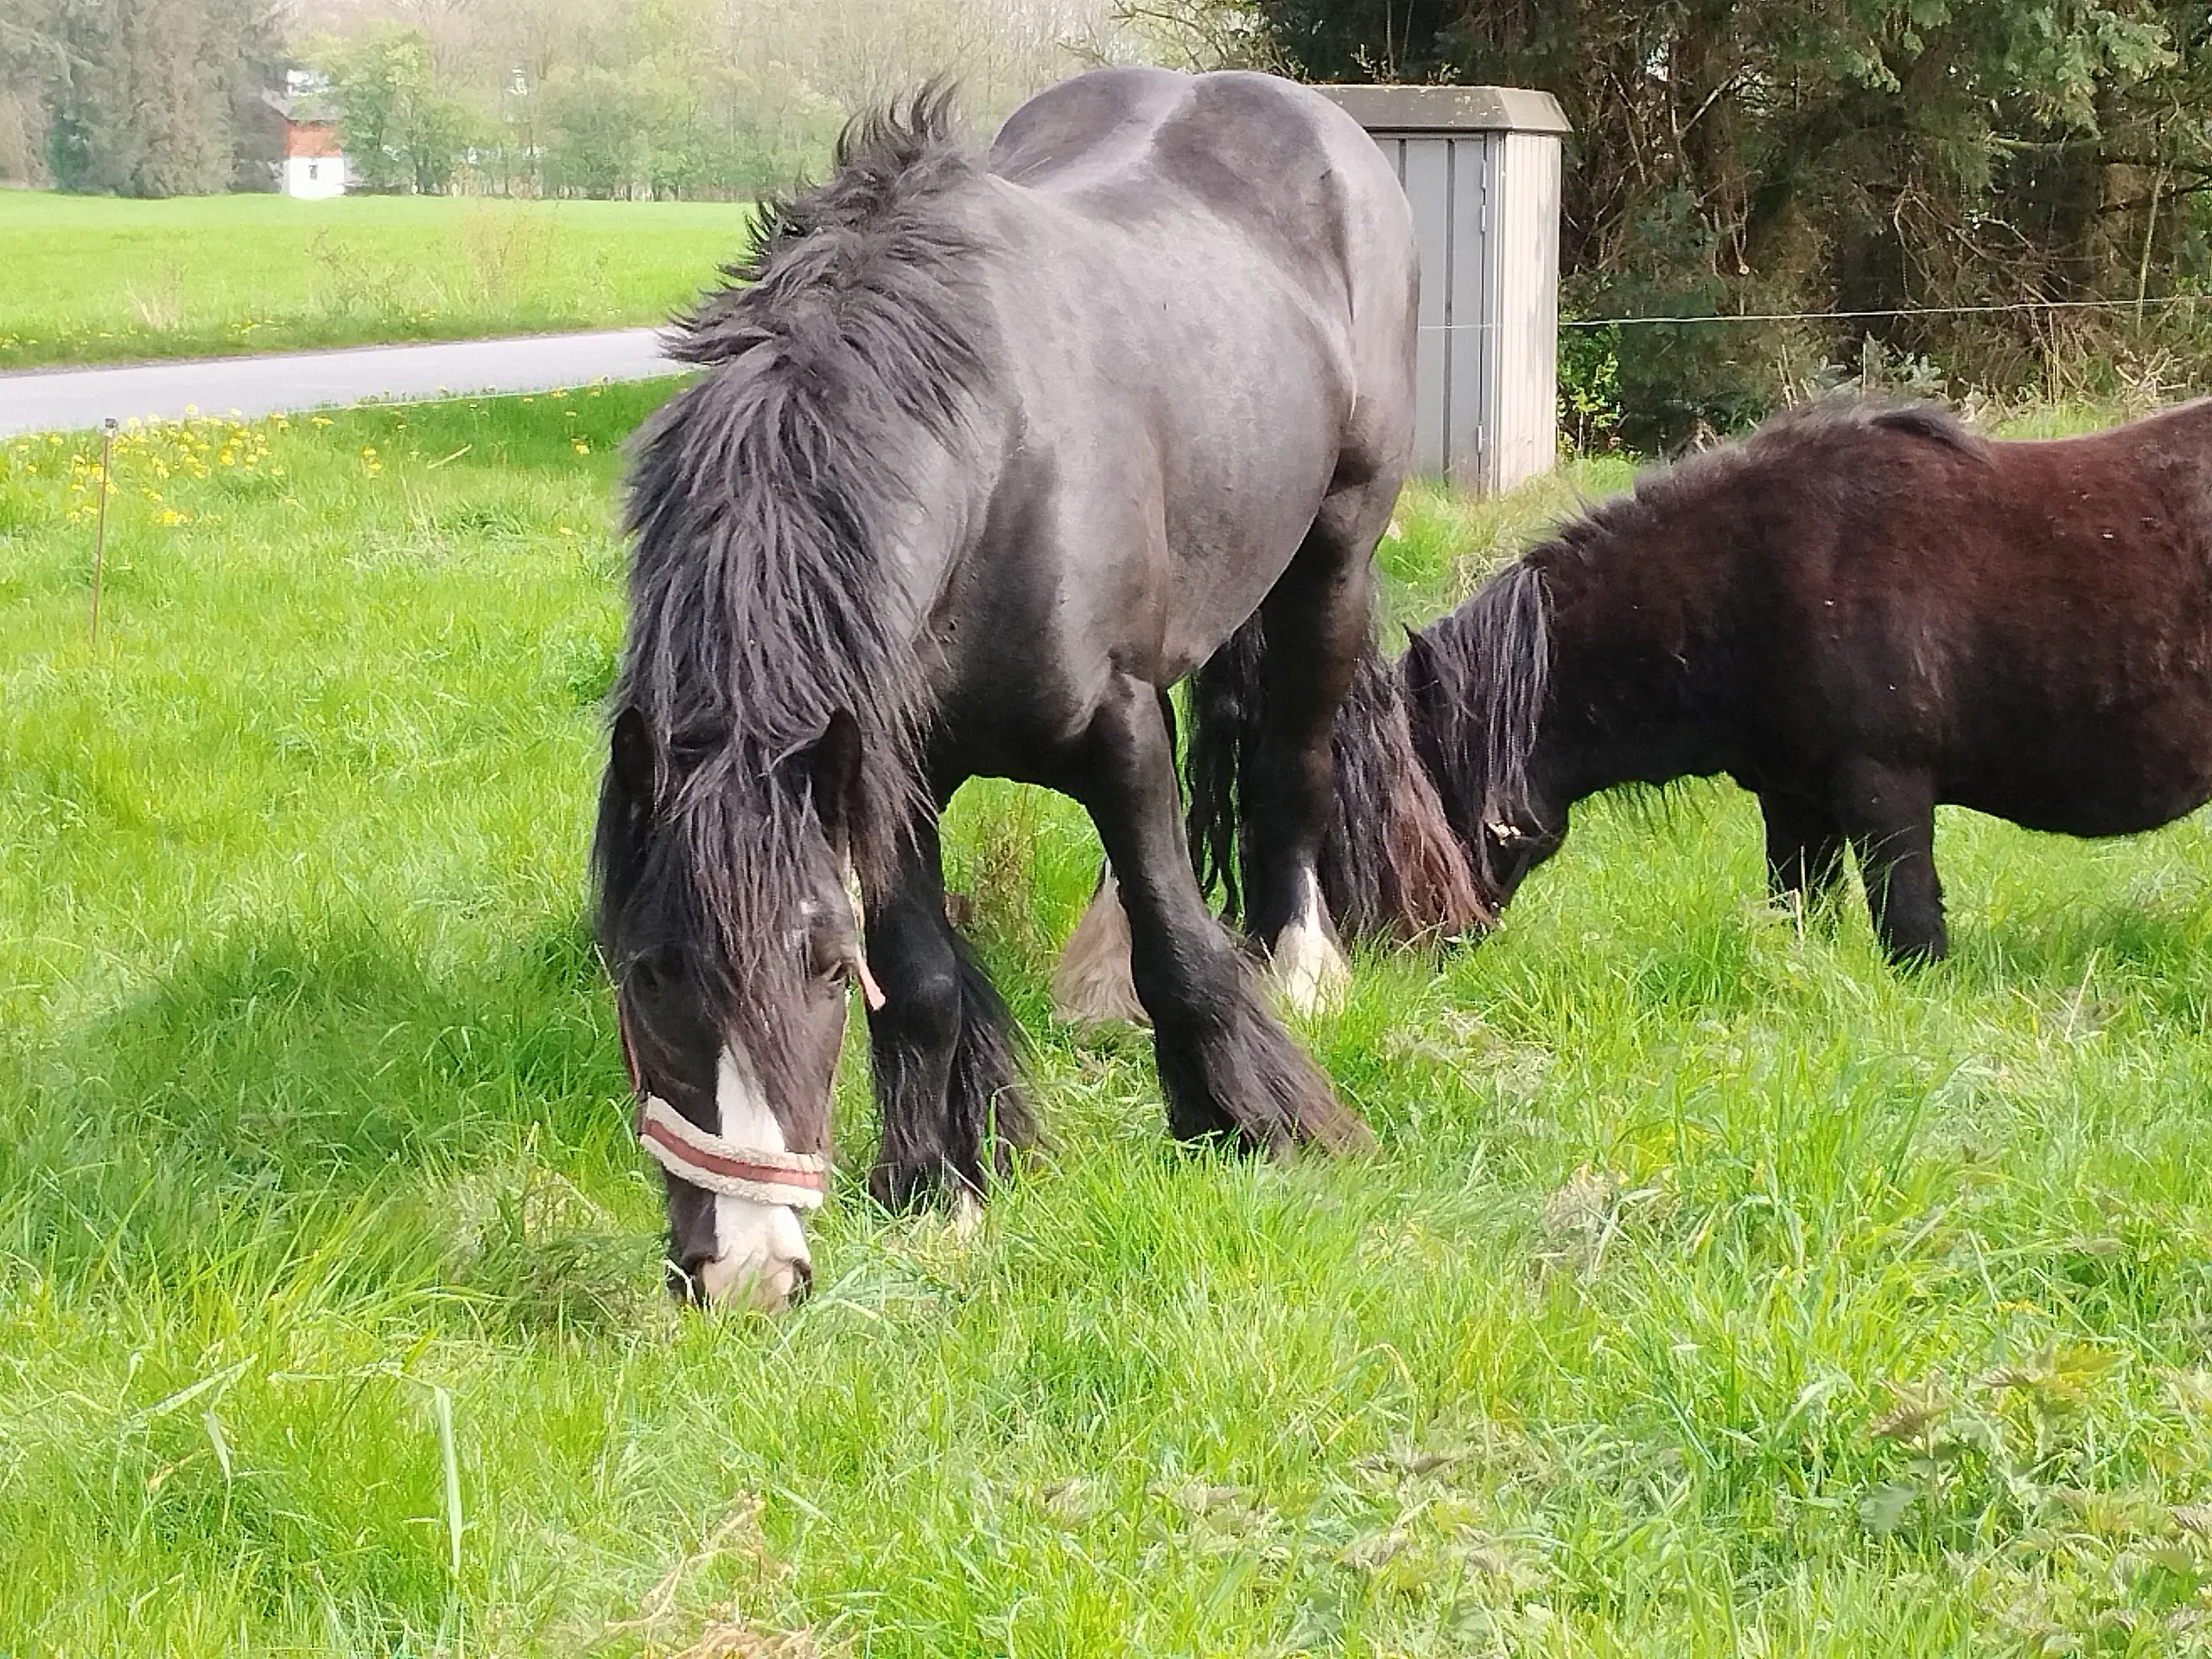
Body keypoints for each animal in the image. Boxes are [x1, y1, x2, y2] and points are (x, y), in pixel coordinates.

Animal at [597, 68, 1451, 1309]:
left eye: (822, 966)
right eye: (646, 970)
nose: (747, 1274)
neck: (992, 471)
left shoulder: (1117, 734)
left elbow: (1179, 944)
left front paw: (1253, 1125)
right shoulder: (885, 774)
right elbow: (923, 979)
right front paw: (941, 1187)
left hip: (1330, 565)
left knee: (1291, 759)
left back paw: (1301, 968)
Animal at [1362, 397, 2212, 969]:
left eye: (1420, 791)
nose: (1400, 949)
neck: (1756, 579)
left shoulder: (1885, 788)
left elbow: (1910, 929)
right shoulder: (1793, 801)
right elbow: (1800, 910)